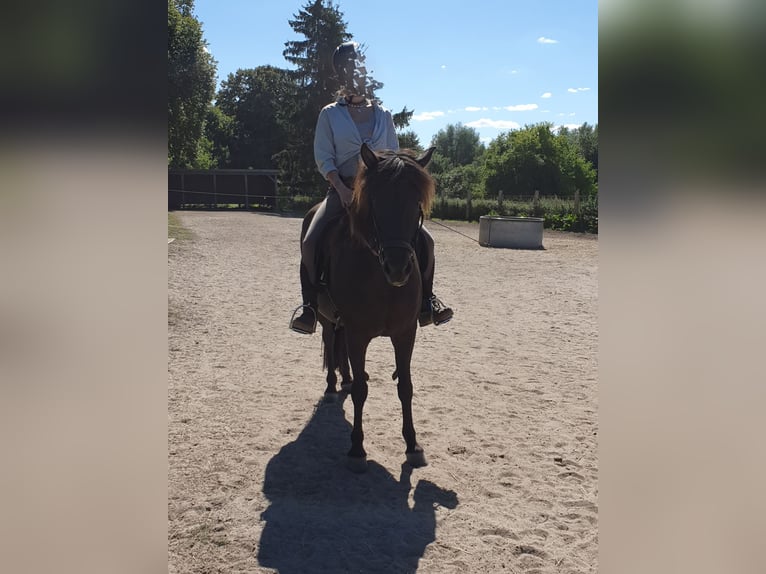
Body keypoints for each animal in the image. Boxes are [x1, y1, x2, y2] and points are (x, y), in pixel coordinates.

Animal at [302, 142, 436, 473]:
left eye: (417, 203)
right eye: (375, 202)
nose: (398, 268)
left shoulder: (405, 333)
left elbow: (406, 386)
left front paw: (412, 445)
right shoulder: (358, 333)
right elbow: (363, 391)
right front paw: (357, 449)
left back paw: (345, 380)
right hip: (325, 316)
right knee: (329, 338)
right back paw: (332, 387)